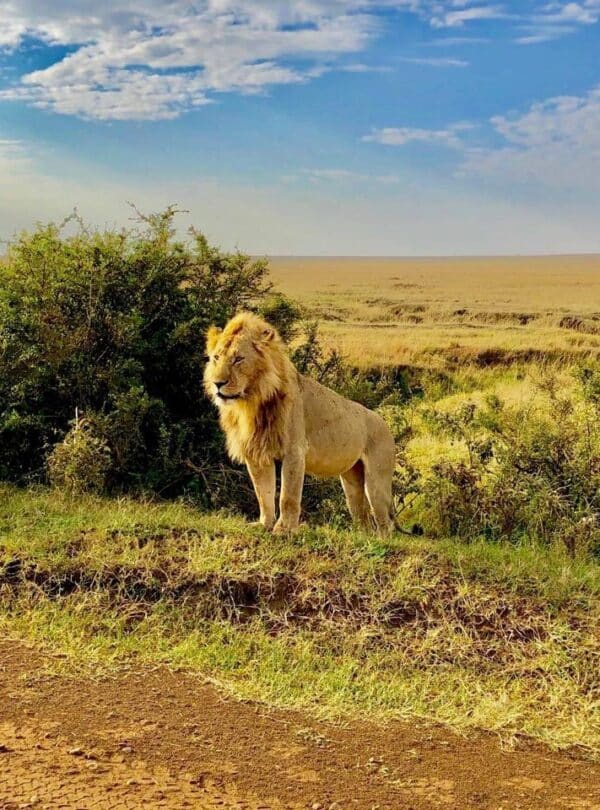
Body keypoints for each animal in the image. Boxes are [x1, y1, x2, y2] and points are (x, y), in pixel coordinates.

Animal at [204, 312, 396, 536]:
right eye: (216, 358)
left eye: (238, 359)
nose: (217, 384)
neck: (252, 402)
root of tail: (385, 424)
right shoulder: (257, 452)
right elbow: (264, 493)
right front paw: (264, 524)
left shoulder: (294, 451)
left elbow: (287, 495)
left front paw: (284, 529)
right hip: (352, 481)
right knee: (363, 518)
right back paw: (361, 537)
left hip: (376, 481)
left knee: (384, 522)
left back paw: (381, 539)